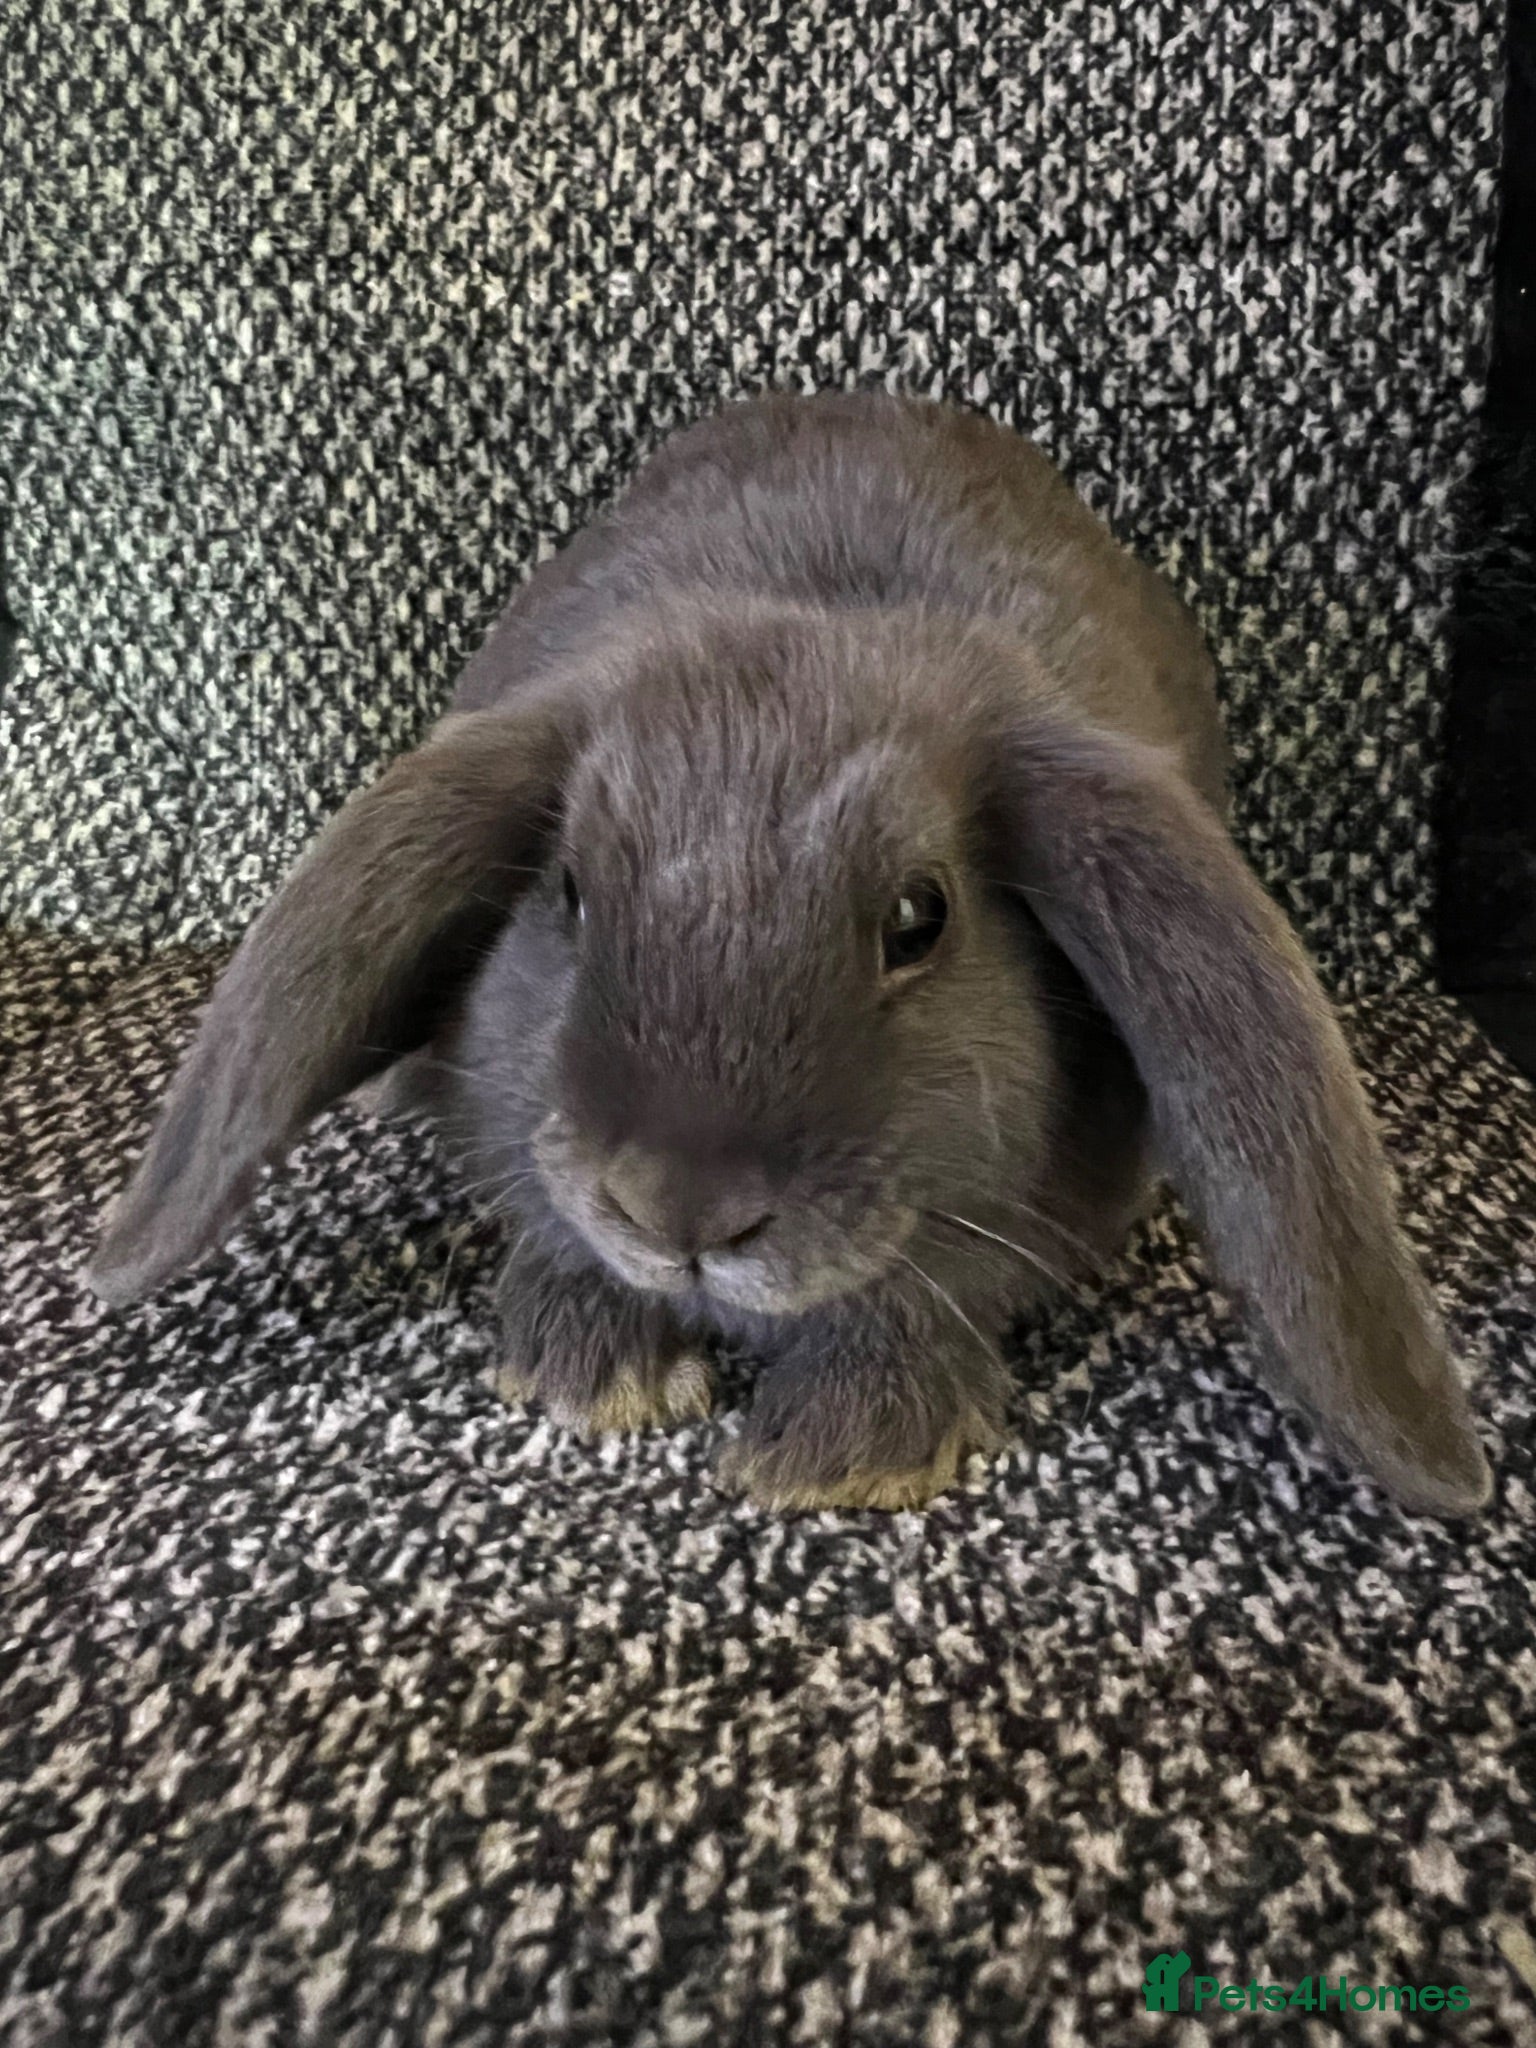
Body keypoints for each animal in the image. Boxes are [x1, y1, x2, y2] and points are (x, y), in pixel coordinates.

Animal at [88, 390, 1492, 1516]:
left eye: (921, 917)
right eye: (570, 891)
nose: (678, 1210)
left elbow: (917, 1298)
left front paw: (845, 1453)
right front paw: (591, 1371)